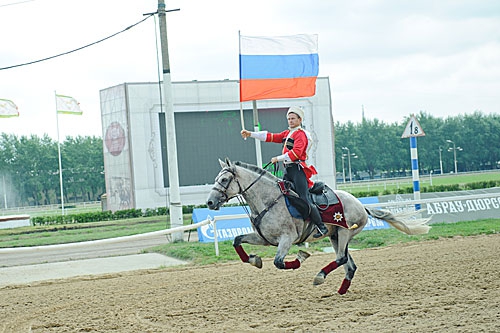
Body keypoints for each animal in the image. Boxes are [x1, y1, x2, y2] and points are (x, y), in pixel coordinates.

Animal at [205, 158, 432, 294]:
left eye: (224, 179)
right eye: (216, 178)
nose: (209, 202)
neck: (268, 200)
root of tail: (361, 204)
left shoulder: (287, 239)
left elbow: (279, 262)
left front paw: (301, 257)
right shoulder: (263, 238)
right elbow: (237, 241)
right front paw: (255, 260)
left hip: (344, 233)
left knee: (341, 259)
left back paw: (320, 276)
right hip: (335, 237)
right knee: (349, 265)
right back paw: (340, 291)